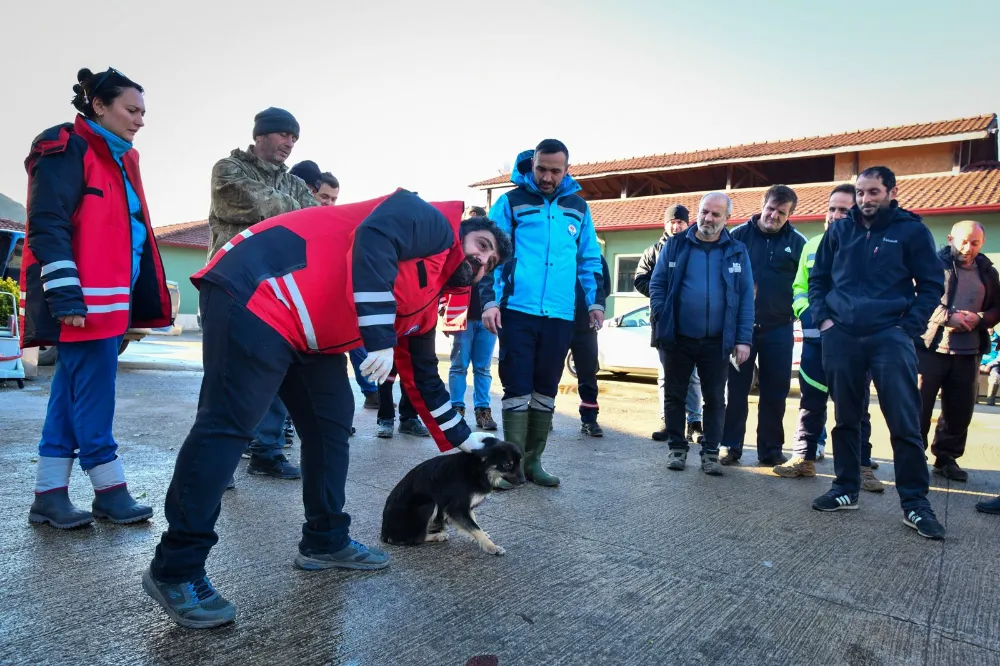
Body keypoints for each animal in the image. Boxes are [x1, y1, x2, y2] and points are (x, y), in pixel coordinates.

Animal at [378, 438, 528, 552]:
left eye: (520, 462)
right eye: (507, 464)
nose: (524, 481)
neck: (479, 470)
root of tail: (385, 534)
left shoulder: (466, 507)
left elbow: (473, 523)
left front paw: (478, 536)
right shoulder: (456, 508)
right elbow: (474, 527)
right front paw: (491, 547)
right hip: (427, 504)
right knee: (415, 538)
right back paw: (437, 536)